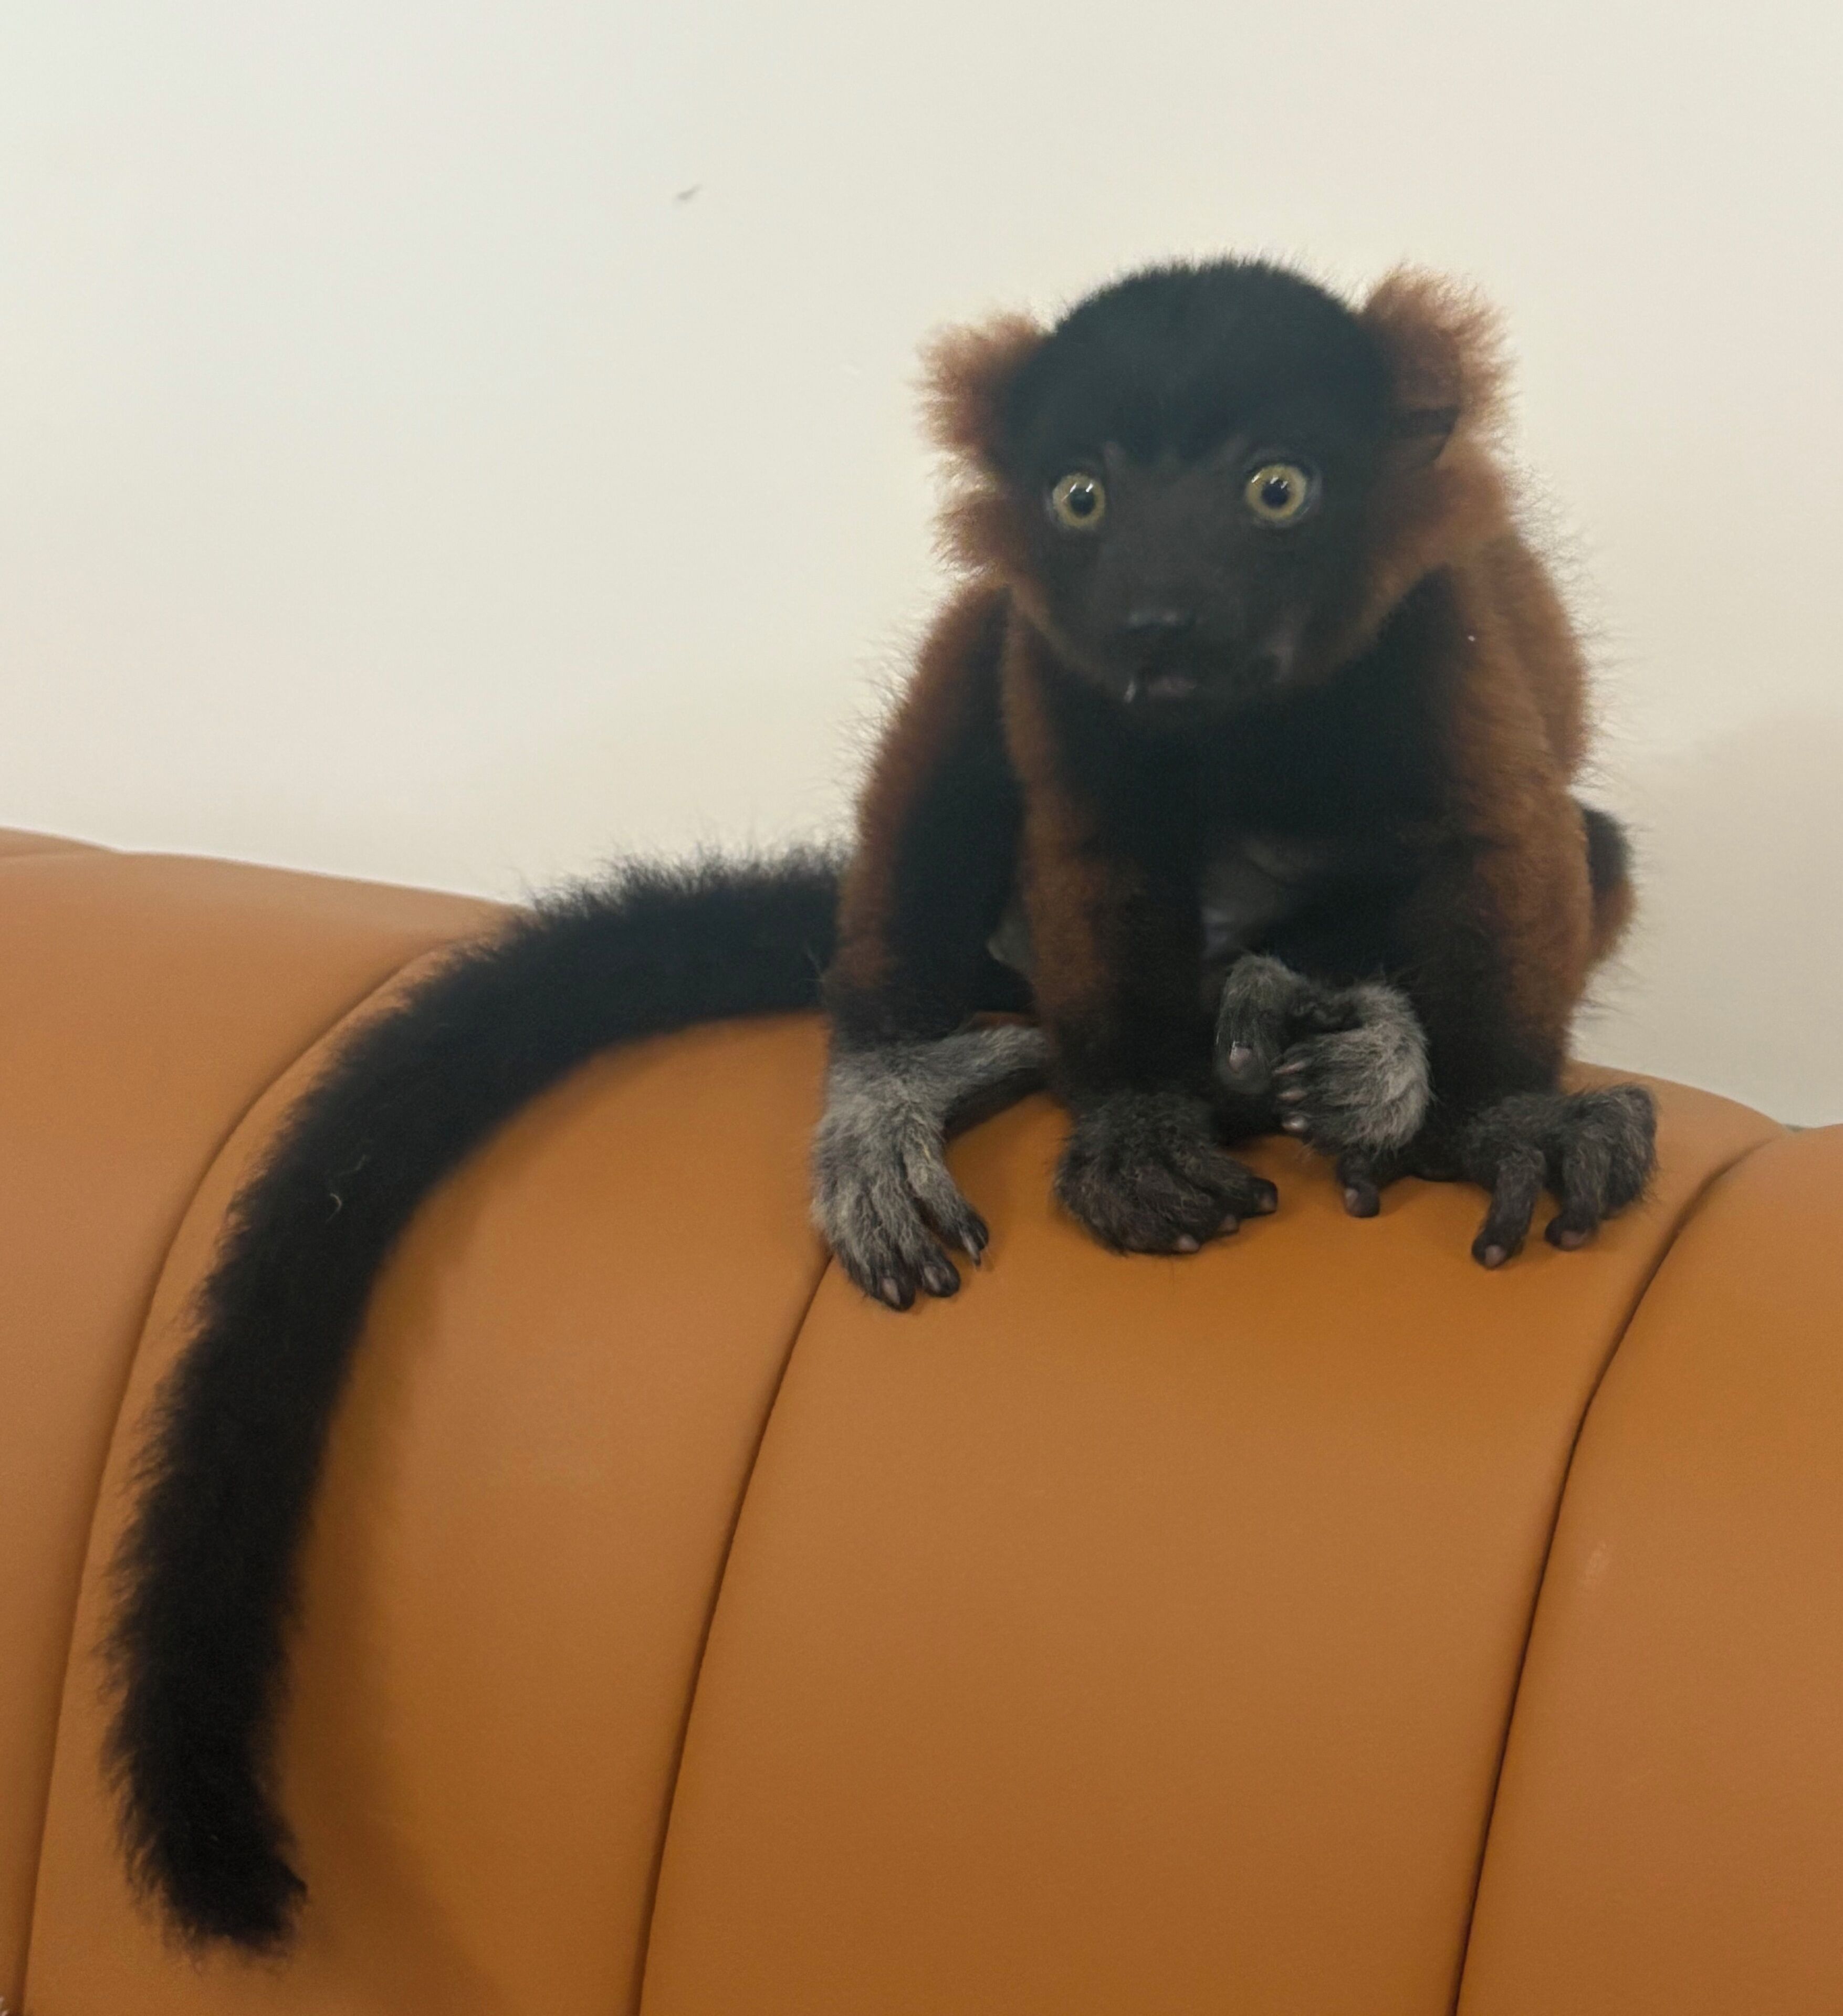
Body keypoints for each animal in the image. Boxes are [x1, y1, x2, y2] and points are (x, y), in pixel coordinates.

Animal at [104, 256, 1654, 1953]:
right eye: (1085, 496)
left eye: (1276, 488)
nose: (1159, 614)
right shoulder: (1069, 672)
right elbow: (1082, 815)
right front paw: (1131, 1118)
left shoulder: (1439, 637)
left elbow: (1507, 831)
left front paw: (1495, 1116)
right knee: (977, 665)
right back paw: (950, 1063)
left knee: (1577, 845)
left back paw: (1320, 1027)